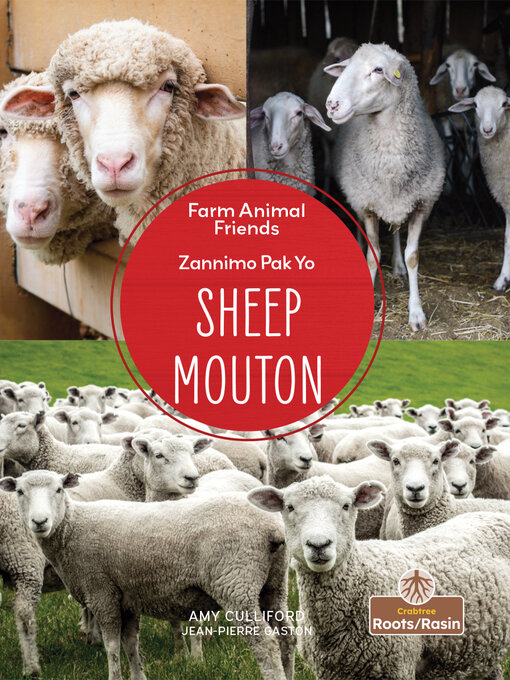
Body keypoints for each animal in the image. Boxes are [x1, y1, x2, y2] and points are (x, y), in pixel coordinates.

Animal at [5, 470, 295, 680]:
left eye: (59, 489)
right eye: (20, 492)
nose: (39, 522)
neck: (72, 526)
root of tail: (272, 528)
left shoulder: (102, 592)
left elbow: (112, 646)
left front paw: (115, 677)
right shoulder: (127, 596)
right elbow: (131, 644)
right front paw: (138, 676)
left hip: (236, 583)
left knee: (265, 643)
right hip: (273, 586)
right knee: (287, 636)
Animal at [249, 476, 510, 680]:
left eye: (346, 505)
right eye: (290, 507)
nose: (319, 545)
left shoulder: (398, 665)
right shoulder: (329, 671)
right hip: (483, 646)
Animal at [326, 43, 445, 330]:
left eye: (378, 70)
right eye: (345, 67)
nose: (332, 104)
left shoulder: (422, 204)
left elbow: (413, 256)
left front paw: (416, 313)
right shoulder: (367, 205)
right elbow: (373, 256)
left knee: (396, 230)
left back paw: (398, 267)